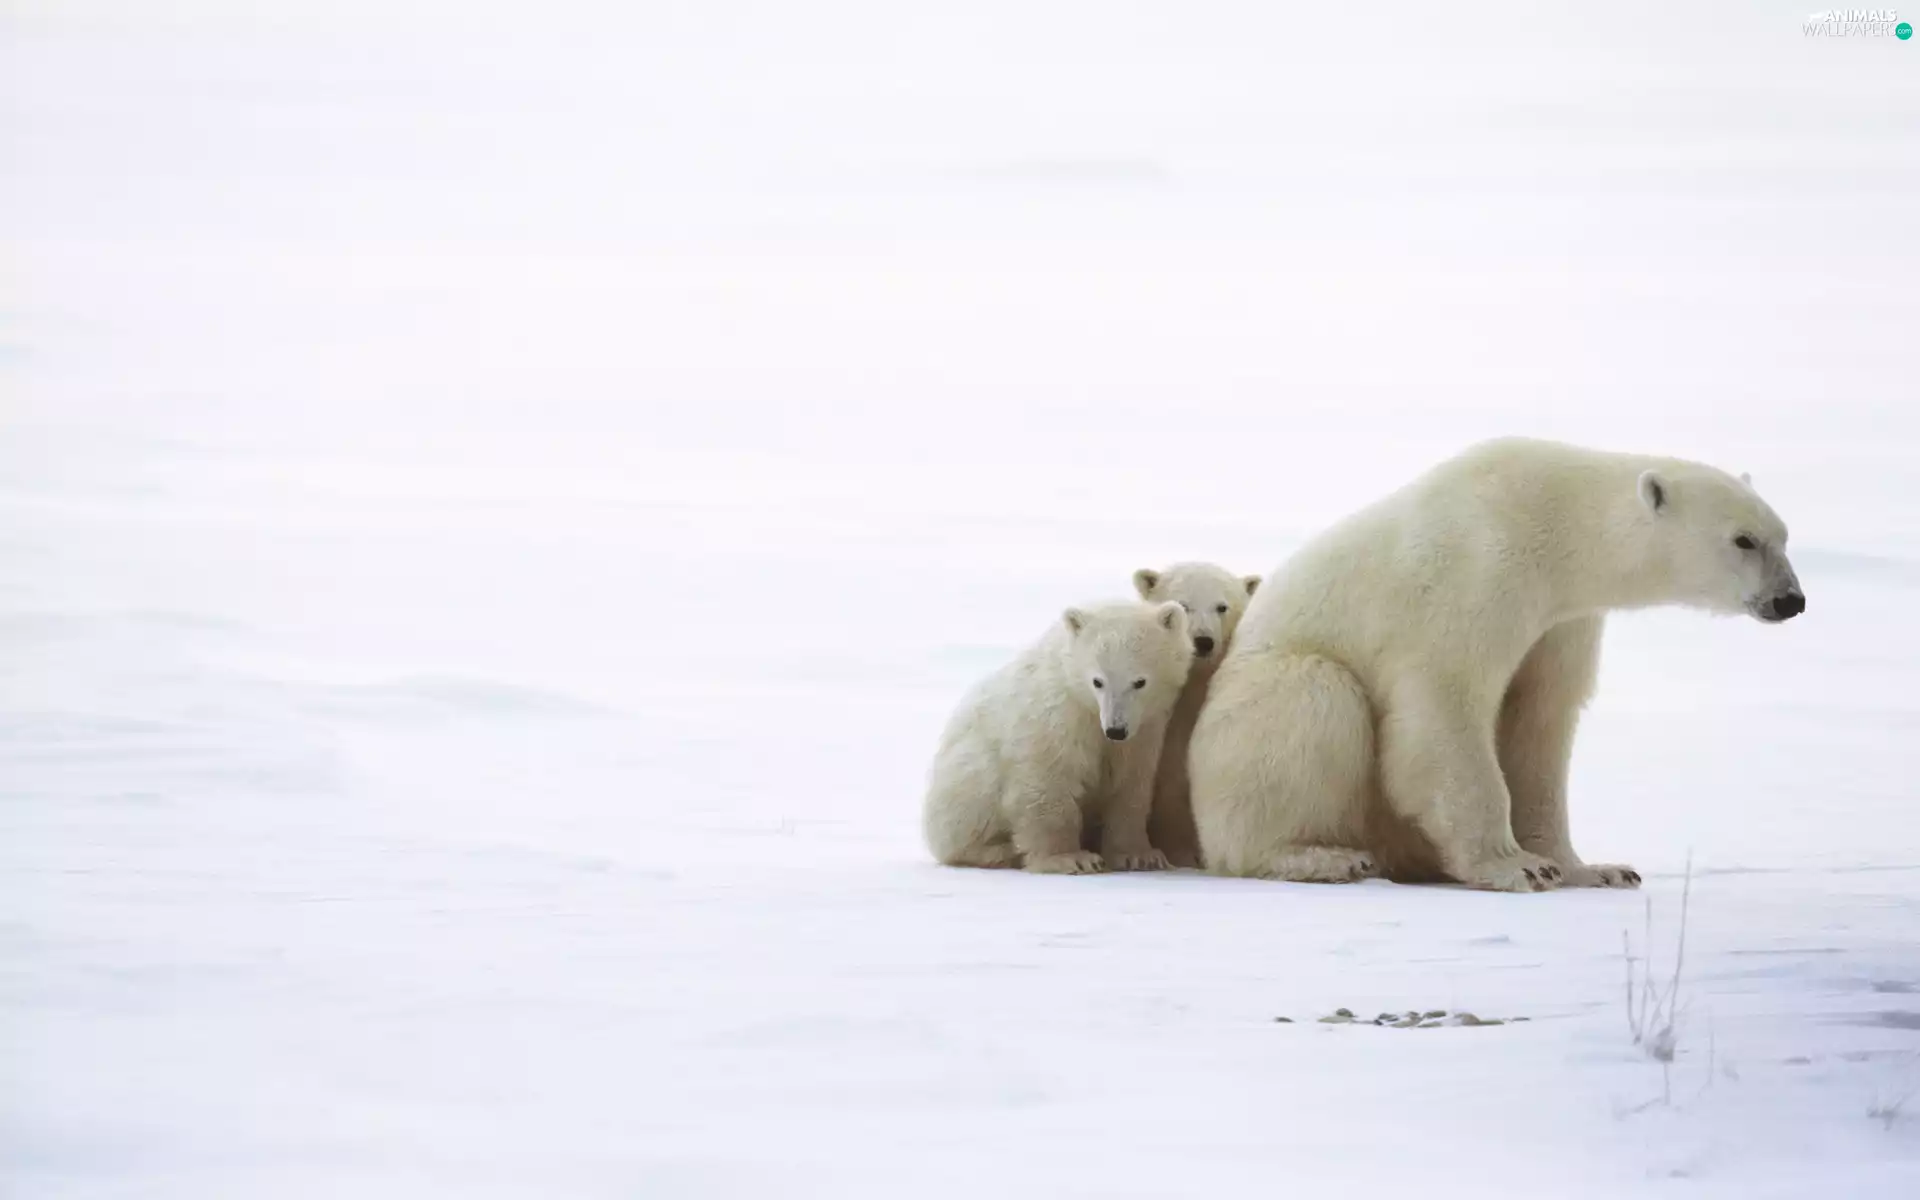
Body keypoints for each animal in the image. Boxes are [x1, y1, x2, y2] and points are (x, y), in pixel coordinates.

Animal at [923, 600, 1194, 874]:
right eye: (1098, 681)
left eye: (1140, 682)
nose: (1116, 729)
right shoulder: (1058, 717)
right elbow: (1048, 781)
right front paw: (1072, 858)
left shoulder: (1145, 730)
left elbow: (1130, 785)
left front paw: (1140, 856)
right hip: (966, 779)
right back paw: (1001, 851)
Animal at [1187, 437, 1805, 893]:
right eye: (1743, 540)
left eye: (1783, 535)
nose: (1790, 600)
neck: (1554, 522)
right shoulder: (1476, 573)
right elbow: (1446, 706)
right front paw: (1517, 865)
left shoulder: (1561, 620)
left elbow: (1541, 720)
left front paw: (1593, 868)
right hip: (1260, 698)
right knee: (1313, 699)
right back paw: (1322, 857)